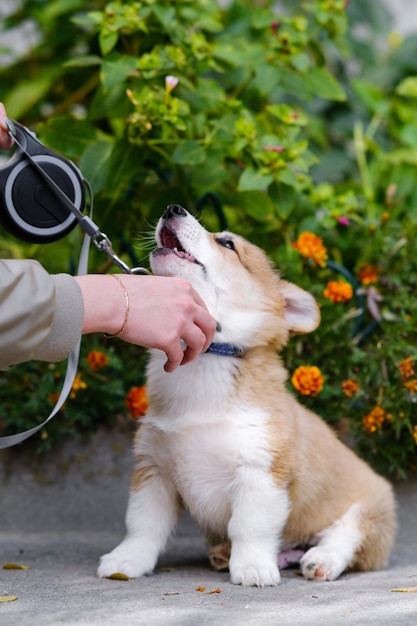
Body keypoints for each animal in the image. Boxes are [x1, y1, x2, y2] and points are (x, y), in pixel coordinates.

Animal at [96, 205, 394, 584]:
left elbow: (250, 526)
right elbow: (142, 525)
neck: (206, 359)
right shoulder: (154, 471)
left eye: (227, 243)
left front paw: (252, 567)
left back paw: (320, 559)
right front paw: (126, 561)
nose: (172, 208)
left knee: (346, 536)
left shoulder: (260, 471)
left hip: (371, 508)